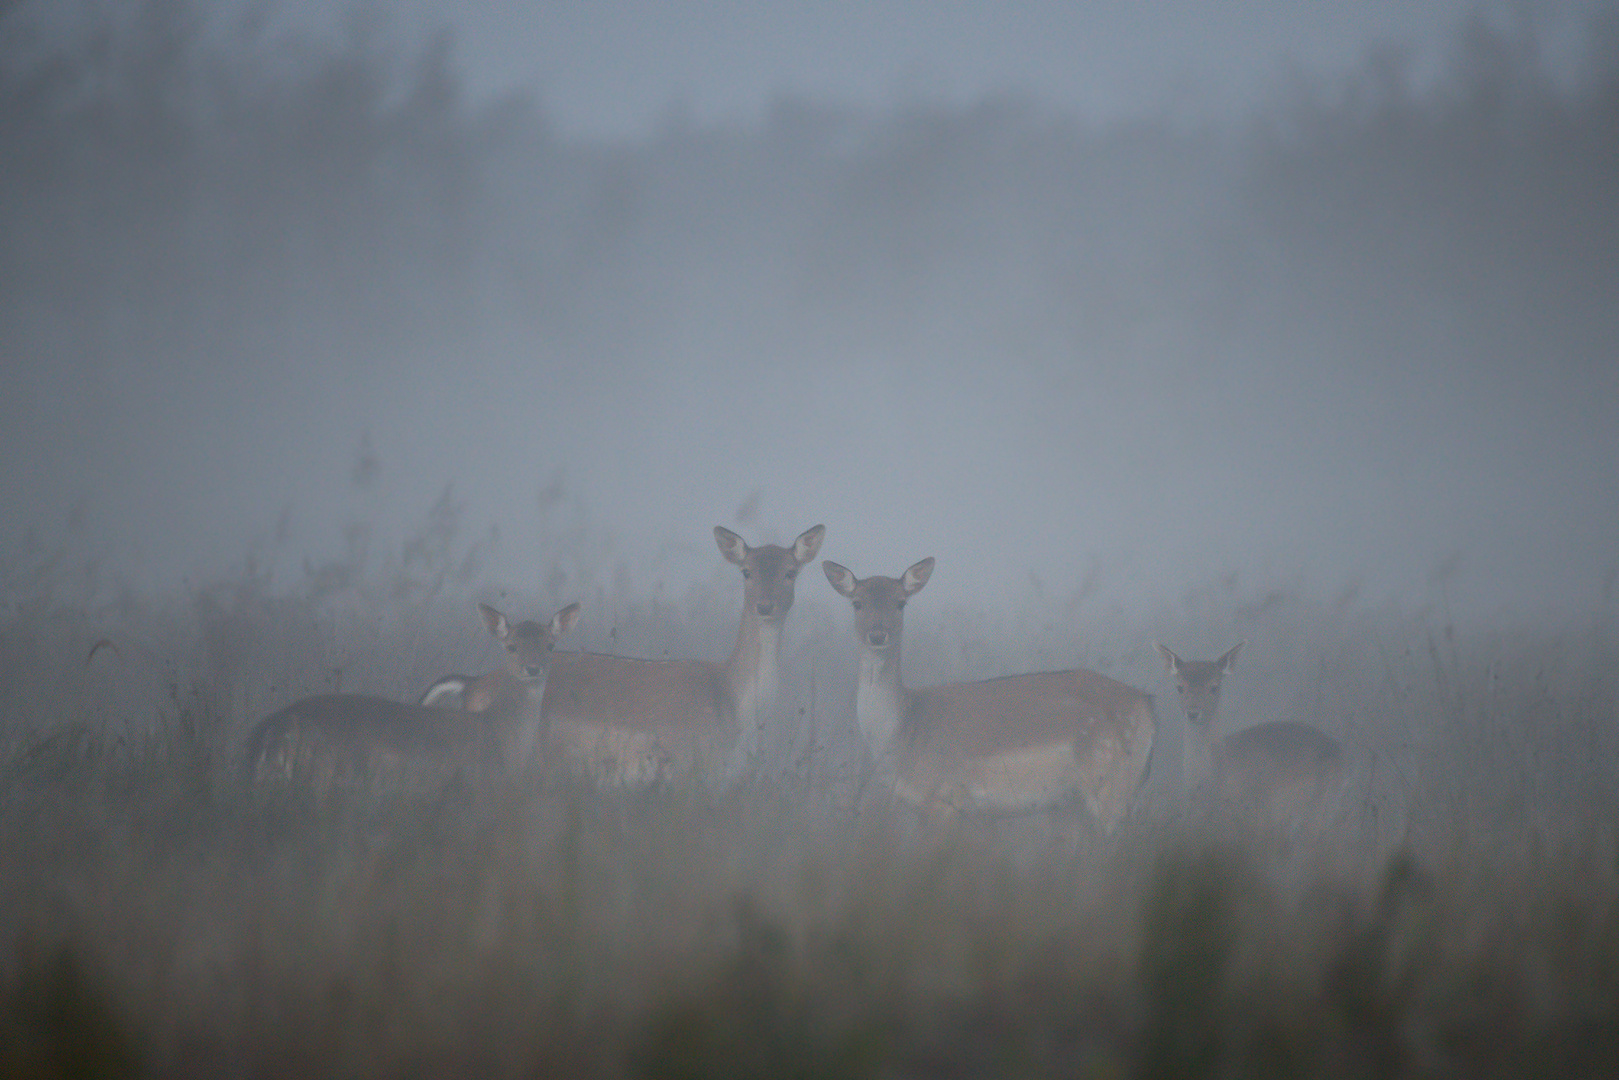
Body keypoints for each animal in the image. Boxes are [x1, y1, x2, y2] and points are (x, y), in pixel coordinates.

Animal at [241, 599, 582, 786]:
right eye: (511, 646)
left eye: (550, 645)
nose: (533, 669)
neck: (500, 732)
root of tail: (274, 727)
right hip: (320, 774)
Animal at [828, 557, 1159, 835]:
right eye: (857, 603)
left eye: (901, 602)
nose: (877, 634)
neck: (901, 733)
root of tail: (1147, 704)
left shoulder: (945, 798)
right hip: (1077, 803)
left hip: (1111, 784)